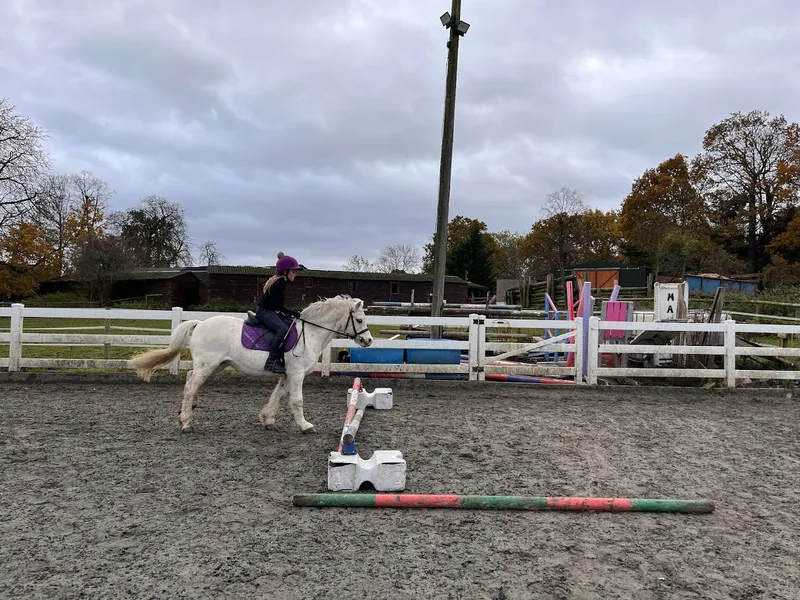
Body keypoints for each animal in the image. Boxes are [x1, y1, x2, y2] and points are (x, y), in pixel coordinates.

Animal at [131, 296, 376, 434]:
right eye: (360, 320)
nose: (368, 341)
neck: (311, 333)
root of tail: (199, 323)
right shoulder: (297, 373)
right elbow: (296, 400)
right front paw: (305, 426)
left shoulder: (287, 374)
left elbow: (278, 395)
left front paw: (267, 419)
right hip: (208, 365)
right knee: (191, 386)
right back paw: (187, 423)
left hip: (215, 365)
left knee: (190, 378)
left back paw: (187, 412)